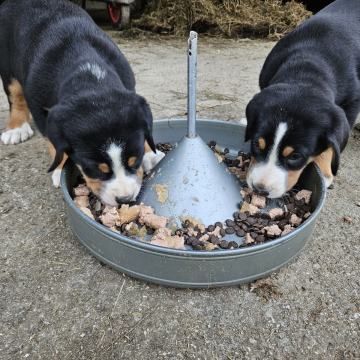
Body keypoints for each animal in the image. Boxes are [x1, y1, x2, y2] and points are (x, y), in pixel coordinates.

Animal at [0, 0, 165, 205]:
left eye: (135, 161)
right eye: (93, 169)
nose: (124, 199)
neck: (89, 76)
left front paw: (151, 154)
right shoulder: (41, 111)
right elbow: (55, 143)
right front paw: (59, 168)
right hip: (7, 65)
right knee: (15, 95)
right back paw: (15, 129)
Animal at [245, 0, 360, 198]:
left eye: (295, 156)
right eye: (256, 144)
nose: (260, 189)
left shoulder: (351, 104)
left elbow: (331, 144)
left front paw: (325, 171)